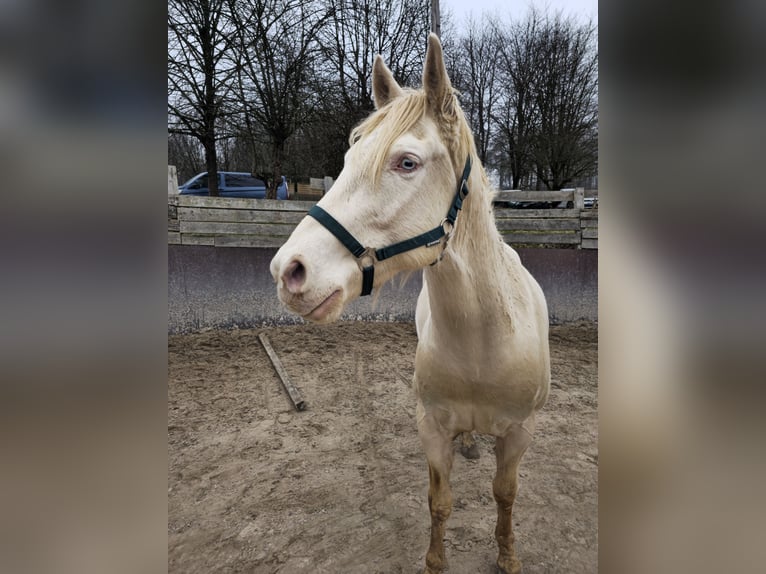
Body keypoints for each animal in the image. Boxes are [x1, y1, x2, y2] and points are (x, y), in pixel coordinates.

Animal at [272, 35, 552, 574]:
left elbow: (505, 495)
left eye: (406, 162)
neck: (485, 341)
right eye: (349, 157)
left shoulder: (519, 434)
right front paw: (435, 561)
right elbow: (438, 502)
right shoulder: (432, 429)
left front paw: (507, 556)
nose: (289, 270)